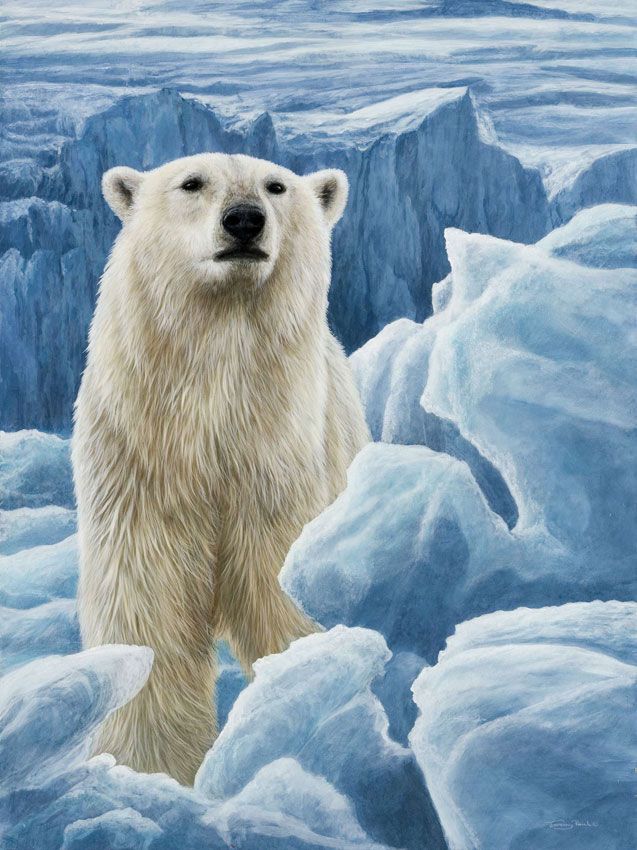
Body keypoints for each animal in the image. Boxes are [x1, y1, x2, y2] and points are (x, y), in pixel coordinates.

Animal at [72, 153, 370, 785]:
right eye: (192, 183)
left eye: (276, 186)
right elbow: (148, 599)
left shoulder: (277, 454)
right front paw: (151, 767)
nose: (244, 221)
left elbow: (277, 575)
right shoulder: (142, 455)